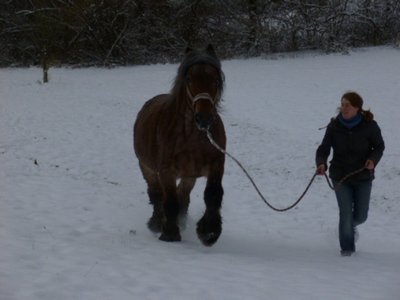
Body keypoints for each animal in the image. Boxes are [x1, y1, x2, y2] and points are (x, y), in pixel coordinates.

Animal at [134, 44, 227, 246]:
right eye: (189, 79)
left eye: (216, 80)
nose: (204, 119)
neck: (193, 136)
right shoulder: (166, 172)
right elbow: (170, 201)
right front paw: (169, 234)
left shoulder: (216, 166)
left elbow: (213, 195)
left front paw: (209, 232)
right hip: (147, 169)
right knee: (156, 195)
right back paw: (156, 223)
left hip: (188, 176)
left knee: (183, 196)